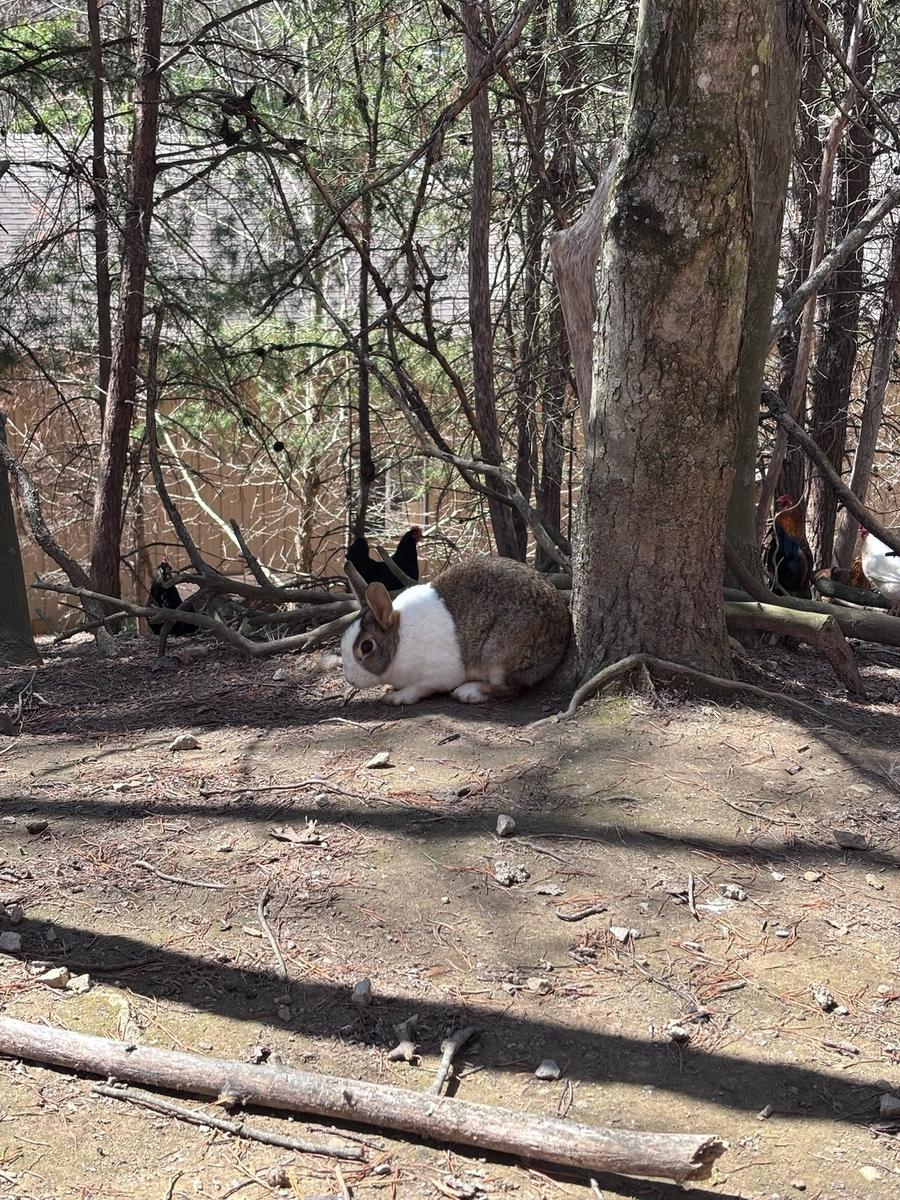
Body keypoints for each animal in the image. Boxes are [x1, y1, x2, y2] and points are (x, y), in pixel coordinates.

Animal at [341, 555, 571, 705]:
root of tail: (562, 633)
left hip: (500, 657)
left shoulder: (438, 674)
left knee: (509, 689)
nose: (350, 680)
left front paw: (395, 697)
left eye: (366, 646)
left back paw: (468, 692)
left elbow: (422, 687)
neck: (398, 640)